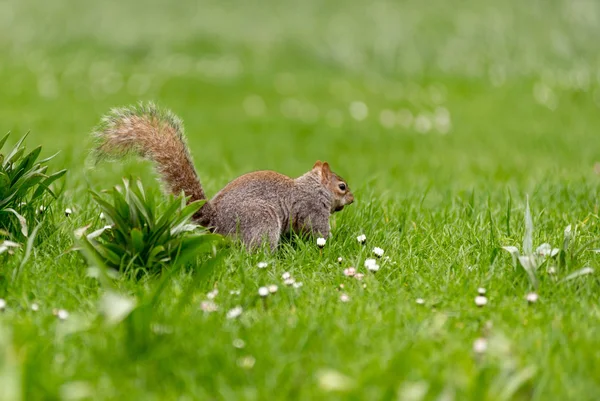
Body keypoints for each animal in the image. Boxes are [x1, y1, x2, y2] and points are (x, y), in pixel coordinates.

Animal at [91, 101, 354, 248]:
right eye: (342, 186)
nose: (353, 199)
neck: (313, 186)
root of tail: (216, 222)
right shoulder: (312, 209)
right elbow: (319, 231)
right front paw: (334, 243)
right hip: (261, 220)